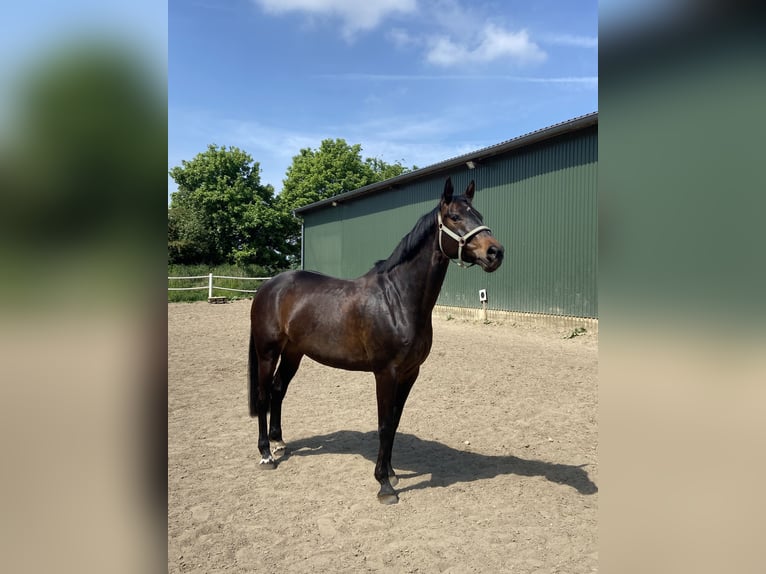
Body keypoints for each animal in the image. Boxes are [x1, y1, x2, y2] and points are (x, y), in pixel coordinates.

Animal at [249, 178, 508, 506]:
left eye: (479, 215)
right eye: (454, 217)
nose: (495, 252)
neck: (397, 299)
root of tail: (268, 286)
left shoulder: (410, 373)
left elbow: (395, 421)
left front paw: (392, 472)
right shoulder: (386, 373)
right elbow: (384, 424)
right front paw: (384, 485)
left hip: (294, 352)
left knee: (279, 390)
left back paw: (279, 441)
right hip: (267, 352)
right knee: (263, 395)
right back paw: (266, 454)